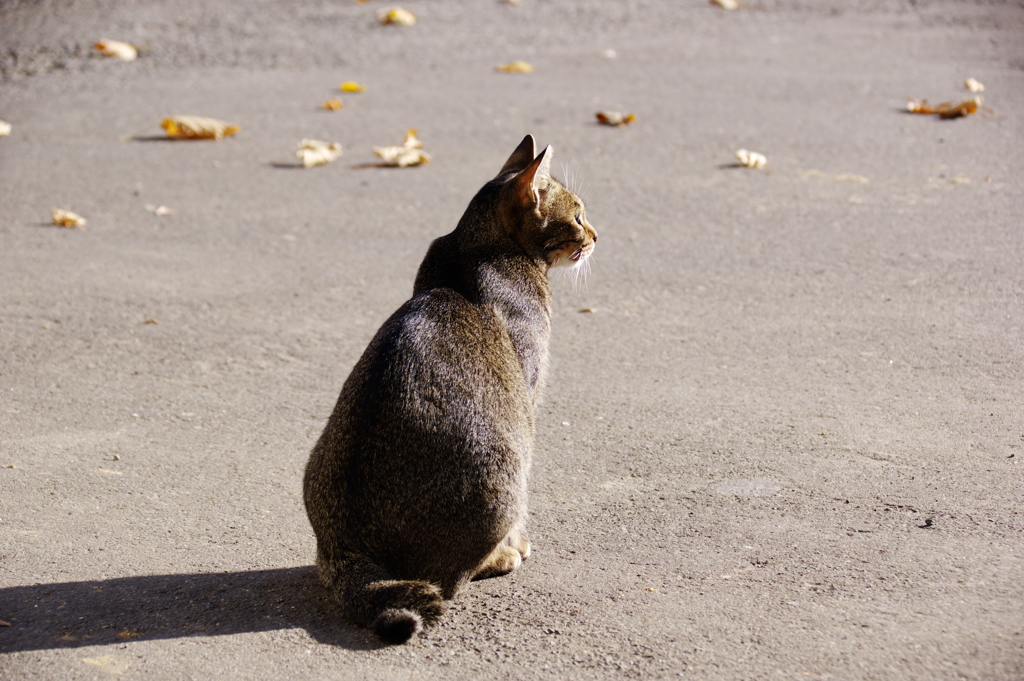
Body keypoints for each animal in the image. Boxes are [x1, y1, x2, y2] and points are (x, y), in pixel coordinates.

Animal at [299, 134, 598, 643]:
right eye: (577, 216)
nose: (597, 235)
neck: (474, 247)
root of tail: (346, 551)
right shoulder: (528, 396)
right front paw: (515, 544)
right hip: (502, 478)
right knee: (450, 579)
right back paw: (502, 555)